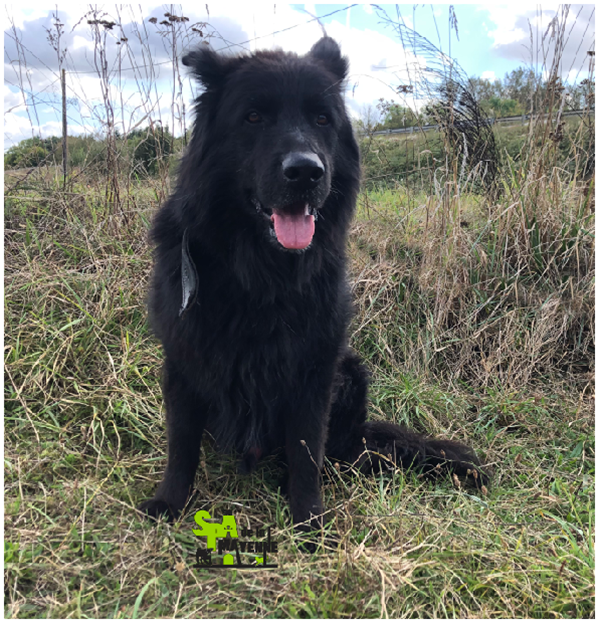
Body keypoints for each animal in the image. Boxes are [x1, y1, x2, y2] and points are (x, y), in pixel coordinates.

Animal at [141, 39, 488, 532]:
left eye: (322, 119)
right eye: (253, 117)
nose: (306, 172)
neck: (260, 272)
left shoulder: (314, 369)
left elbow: (307, 451)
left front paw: (309, 521)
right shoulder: (183, 359)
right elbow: (181, 444)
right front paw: (169, 502)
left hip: (351, 373)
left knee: (333, 453)